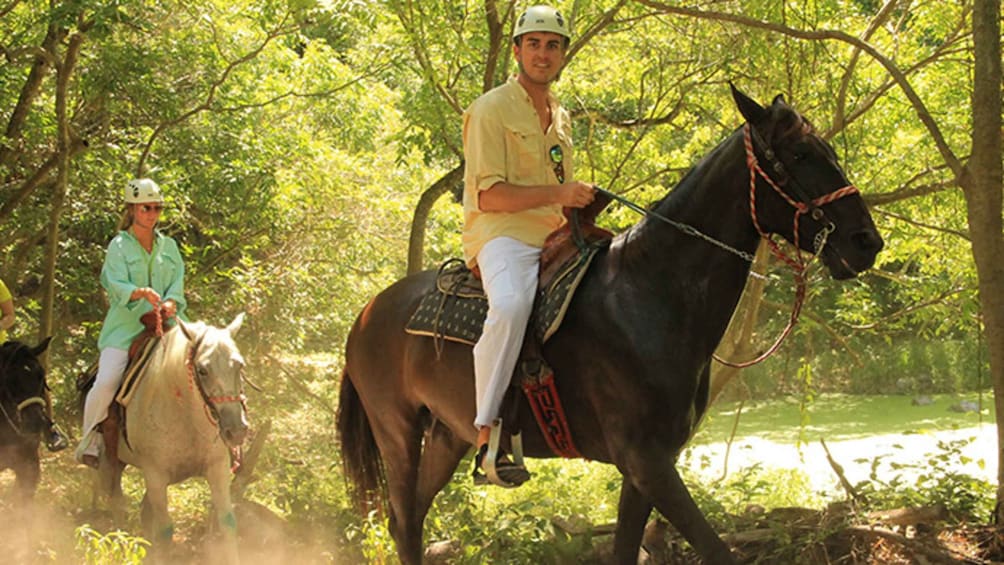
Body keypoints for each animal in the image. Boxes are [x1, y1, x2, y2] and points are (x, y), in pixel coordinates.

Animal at [96, 311, 249, 561]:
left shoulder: (217, 467)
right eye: (202, 370)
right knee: (117, 502)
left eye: (239, 366)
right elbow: (165, 530)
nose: (236, 430)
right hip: (111, 463)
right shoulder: (155, 474)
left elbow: (227, 521)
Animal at [335, 86, 879, 561]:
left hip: (447, 437)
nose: (866, 241)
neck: (649, 295)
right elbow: (716, 551)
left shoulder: (645, 469)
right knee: (406, 522)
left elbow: (625, 549)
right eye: (801, 154)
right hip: (397, 433)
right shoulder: (648, 462)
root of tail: (366, 314)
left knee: (410, 520)